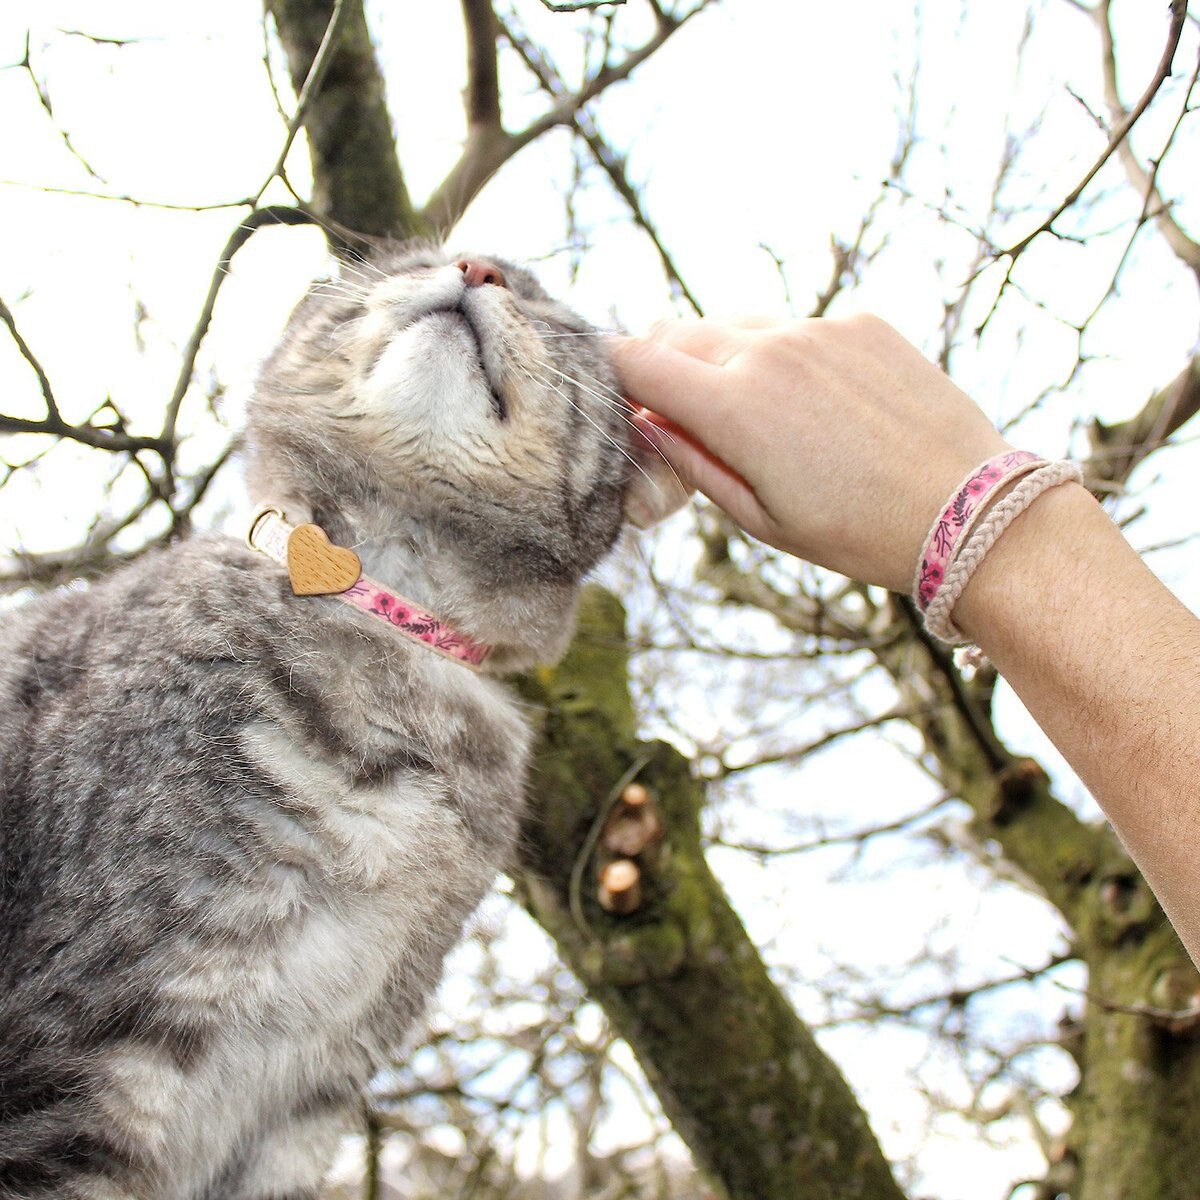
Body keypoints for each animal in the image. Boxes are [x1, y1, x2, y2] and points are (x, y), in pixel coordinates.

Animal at [0, 243, 681, 1200]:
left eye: (558, 318)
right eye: (418, 257)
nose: (477, 266)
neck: (390, 610)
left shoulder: (307, 1104)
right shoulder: (97, 1040)